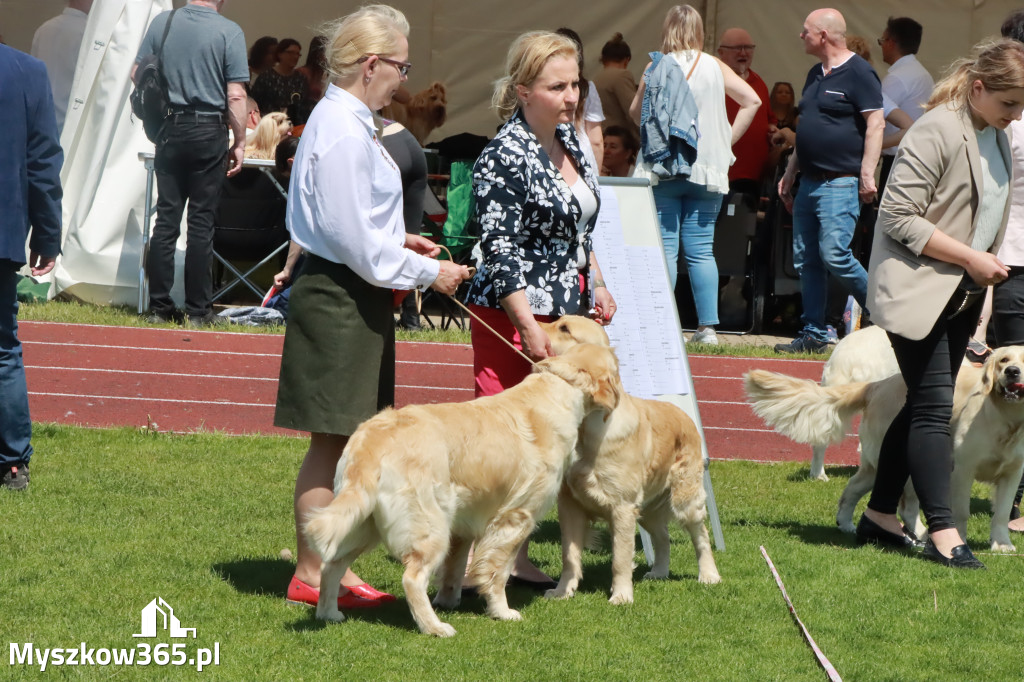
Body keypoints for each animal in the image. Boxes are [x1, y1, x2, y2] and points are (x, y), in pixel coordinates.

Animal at [303, 342, 618, 634]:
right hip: (429, 526)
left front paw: (448, 600)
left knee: (331, 564)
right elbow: (498, 572)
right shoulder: (515, 518)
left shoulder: (464, 524)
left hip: (362, 522)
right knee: (411, 578)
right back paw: (434, 627)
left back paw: (329, 614)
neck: (557, 391)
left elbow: (454, 569)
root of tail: (370, 440)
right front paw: (502, 611)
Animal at [540, 315, 716, 602]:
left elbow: (620, 559)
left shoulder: (622, 507)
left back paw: (709, 575)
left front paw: (621, 596)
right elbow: (569, 556)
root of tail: (684, 415)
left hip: (684, 498)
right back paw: (659, 572)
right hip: (648, 508)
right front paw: (562, 591)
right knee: (662, 537)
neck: (586, 426)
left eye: (564, 328)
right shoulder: (569, 505)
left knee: (701, 535)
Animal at [745, 346, 1024, 548]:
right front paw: (960, 542)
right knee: (906, 508)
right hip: (908, 462)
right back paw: (923, 535)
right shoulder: (962, 471)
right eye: (1004, 360)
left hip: (877, 464)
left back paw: (847, 524)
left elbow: (1001, 512)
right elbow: (961, 512)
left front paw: (1002, 545)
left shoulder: (1013, 474)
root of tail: (877, 385)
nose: (1012, 371)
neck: (1008, 420)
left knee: (854, 487)